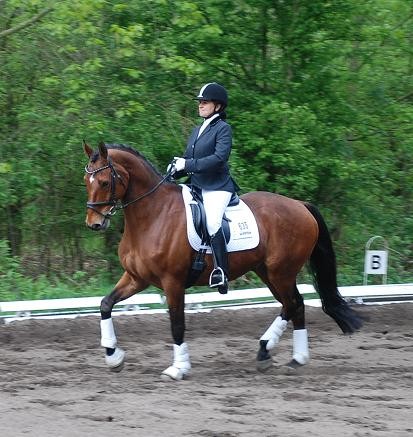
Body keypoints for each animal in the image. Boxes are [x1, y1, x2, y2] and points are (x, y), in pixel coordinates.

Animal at [83, 142, 360, 378]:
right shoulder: (136, 278)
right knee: (296, 305)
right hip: (268, 272)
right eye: (87, 181)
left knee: (292, 304)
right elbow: (105, 304)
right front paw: (113, 357)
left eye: (105, 182)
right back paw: (290, 358)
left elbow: (177, 324)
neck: (153, 215)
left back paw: (272, 350)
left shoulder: (173, 282)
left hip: (281, 272)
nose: (94, 224)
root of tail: (300, 205)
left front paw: (178, 368)